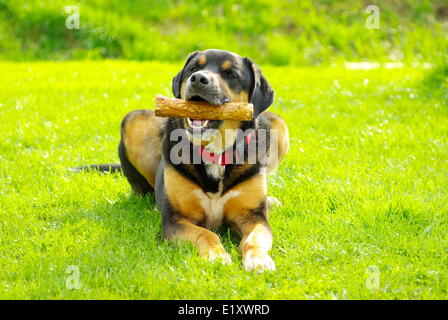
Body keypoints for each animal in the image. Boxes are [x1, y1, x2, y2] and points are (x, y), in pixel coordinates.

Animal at [83, 50, 288, 272]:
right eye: (193, 68)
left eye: (230, 74)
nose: (198, 79)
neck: (214, 152)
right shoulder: (176, 219)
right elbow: (206, 233)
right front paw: (217, 256)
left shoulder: (253, 217)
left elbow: (254, 239)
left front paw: (258, 259)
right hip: (133, 121)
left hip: (279, 125)